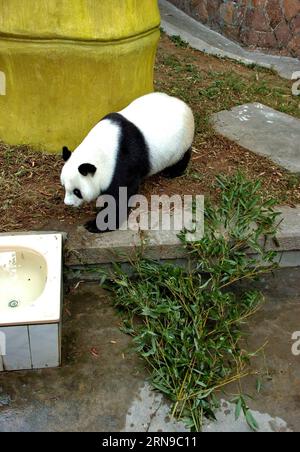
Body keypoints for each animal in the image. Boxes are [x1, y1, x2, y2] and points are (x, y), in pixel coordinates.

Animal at [62, 92, 196, 233]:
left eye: (77, 191)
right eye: (64, 186)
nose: (68, 204)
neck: (100, 149)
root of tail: (184, 105)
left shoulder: (123, 162)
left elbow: (122, 193)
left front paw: (97, 224)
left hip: (180, 142)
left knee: (182, 156)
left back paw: (172, 172)